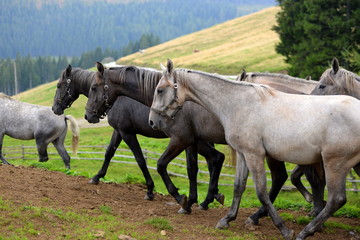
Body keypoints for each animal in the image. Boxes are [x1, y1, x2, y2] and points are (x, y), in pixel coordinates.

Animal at [53, 64, 226, 213]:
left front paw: (150, 190)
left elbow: (140, 160)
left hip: (195, 142)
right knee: (213, 161)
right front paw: (97, 177)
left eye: (59, 85)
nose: (55, 108)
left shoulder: (127, 133)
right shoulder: (118, 131)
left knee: (213, 160)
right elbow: (109, 153)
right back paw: (210, 198)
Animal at [149, 59, 360, 239]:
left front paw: (284, 230)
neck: (239, 104)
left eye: (160, 90)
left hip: (335, 164)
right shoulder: (243, 154)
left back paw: (305, 232)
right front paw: (227, 219)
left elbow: (261, 192)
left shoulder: (254, 155)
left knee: (336, 199)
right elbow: (238, 187)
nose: (153, 121)